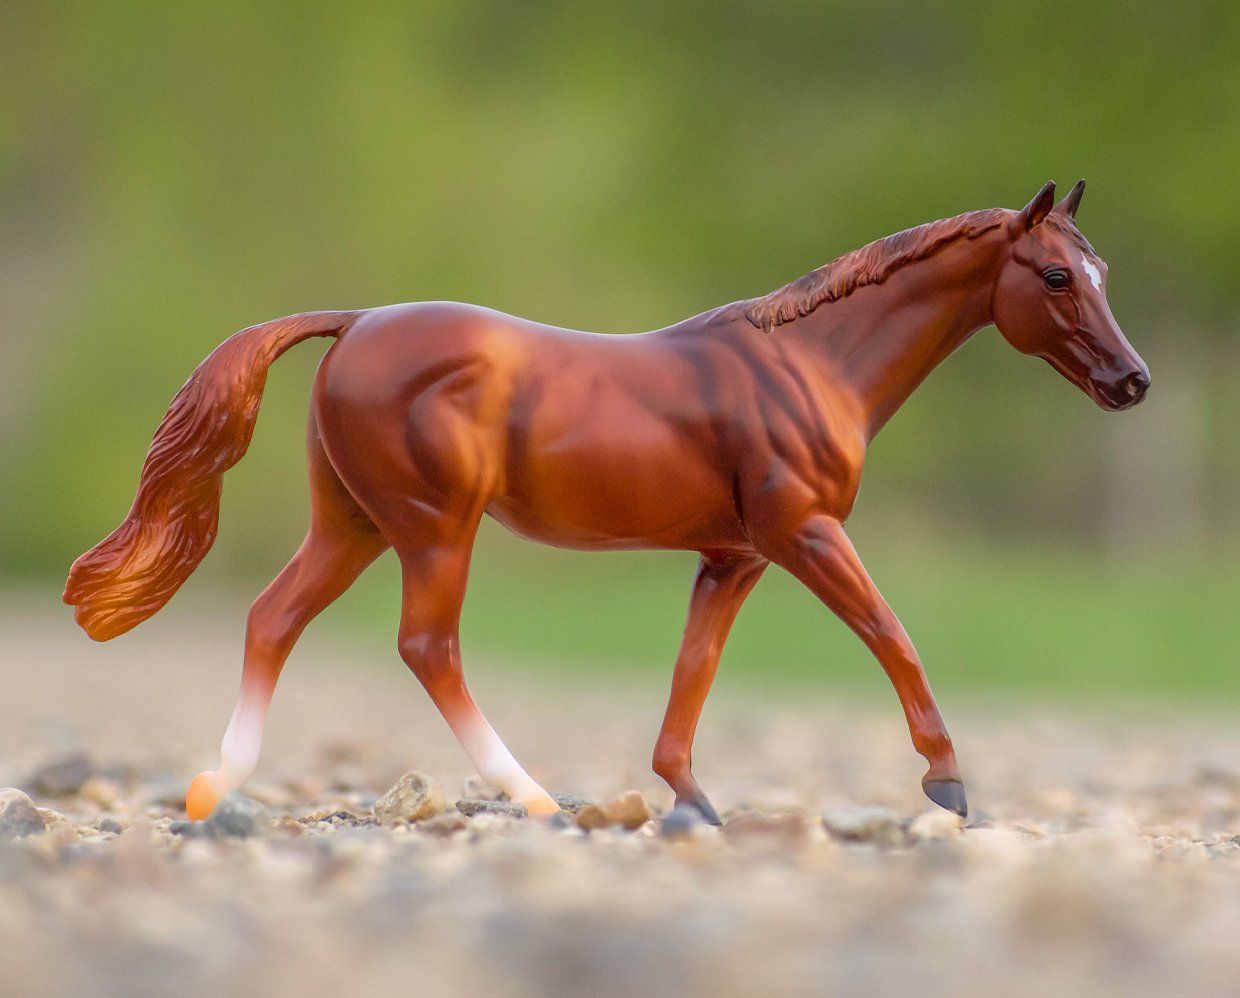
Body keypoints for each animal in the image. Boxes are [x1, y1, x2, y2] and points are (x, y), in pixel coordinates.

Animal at [65, 178, 1150, 818]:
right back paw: (534, 797)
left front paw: (689, 797)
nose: (1130, 381)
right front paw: (948, 782)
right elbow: (891, 632)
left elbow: (694, 667)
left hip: (354, 524)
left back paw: (214, 789)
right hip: (433, 529)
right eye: (1057, 274)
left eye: (1102, 270)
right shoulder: (804, 532)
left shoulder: (734, 555)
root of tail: (357, 321)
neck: (811, 365)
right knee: (428, 645)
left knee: (273, 618)